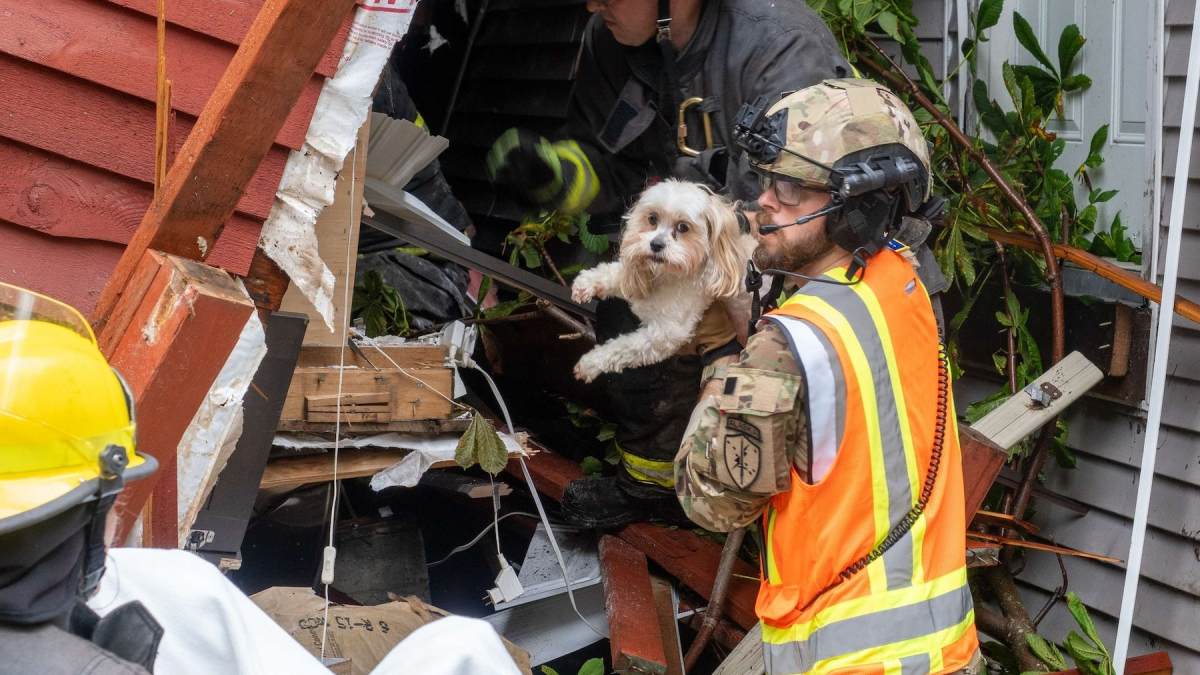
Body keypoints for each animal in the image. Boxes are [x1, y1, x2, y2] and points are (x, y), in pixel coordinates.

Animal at [573, 178, 758, 381]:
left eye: (683, 227)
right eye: (652, 218)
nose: (656, 244)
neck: (667, 276)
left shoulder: (665, 335)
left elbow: (623, 348)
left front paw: (590, 364)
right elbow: (614, 273)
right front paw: (586, 284)